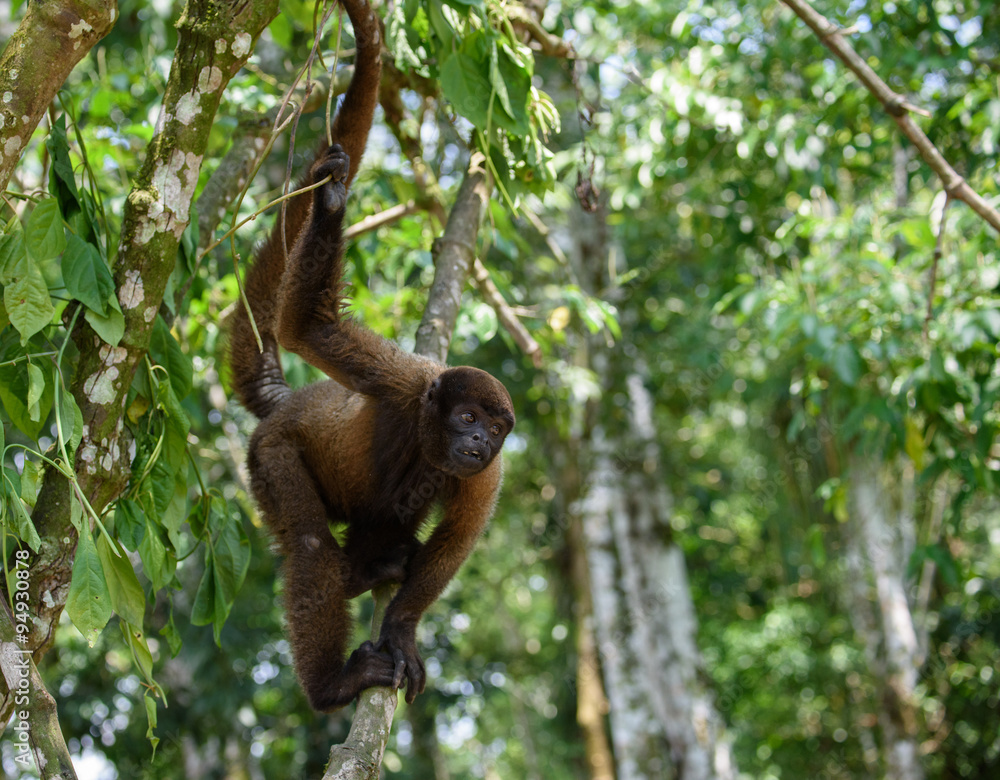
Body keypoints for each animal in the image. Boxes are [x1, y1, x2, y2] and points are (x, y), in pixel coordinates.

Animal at [228, 0, 515, 712]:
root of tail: (288, 401)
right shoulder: (406, 381)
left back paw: (373, 567)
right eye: (467, 417)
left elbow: (454, 545)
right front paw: (330, 206)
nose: (479, 442)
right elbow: (309, 328)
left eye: (495, 429)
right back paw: (332, 684)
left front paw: (402, 627)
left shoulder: (490, 476)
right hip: (269, 454)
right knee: (310, 548)